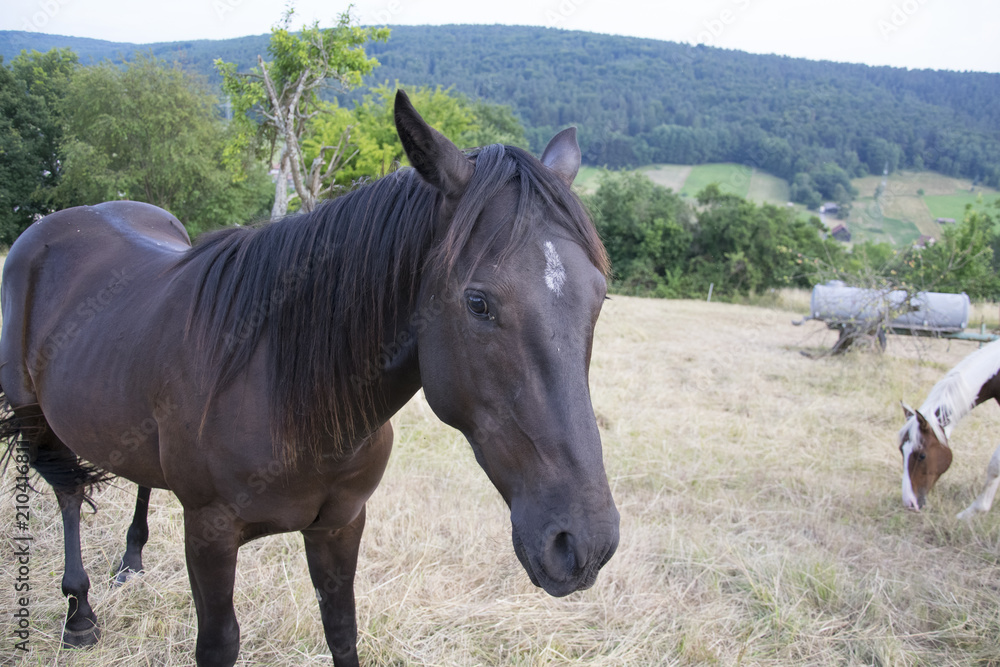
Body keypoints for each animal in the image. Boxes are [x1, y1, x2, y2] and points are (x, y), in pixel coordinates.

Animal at [0, 90, 620, 667]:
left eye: (599, 298)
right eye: (478, 303)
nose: (584, 544)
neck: (283, 391)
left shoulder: (340, 525)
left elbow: (341, 631)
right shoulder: (209, 534)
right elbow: (219, 644)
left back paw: (130, 561)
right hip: (36, 419)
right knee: (68, 492)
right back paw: (79, 613)